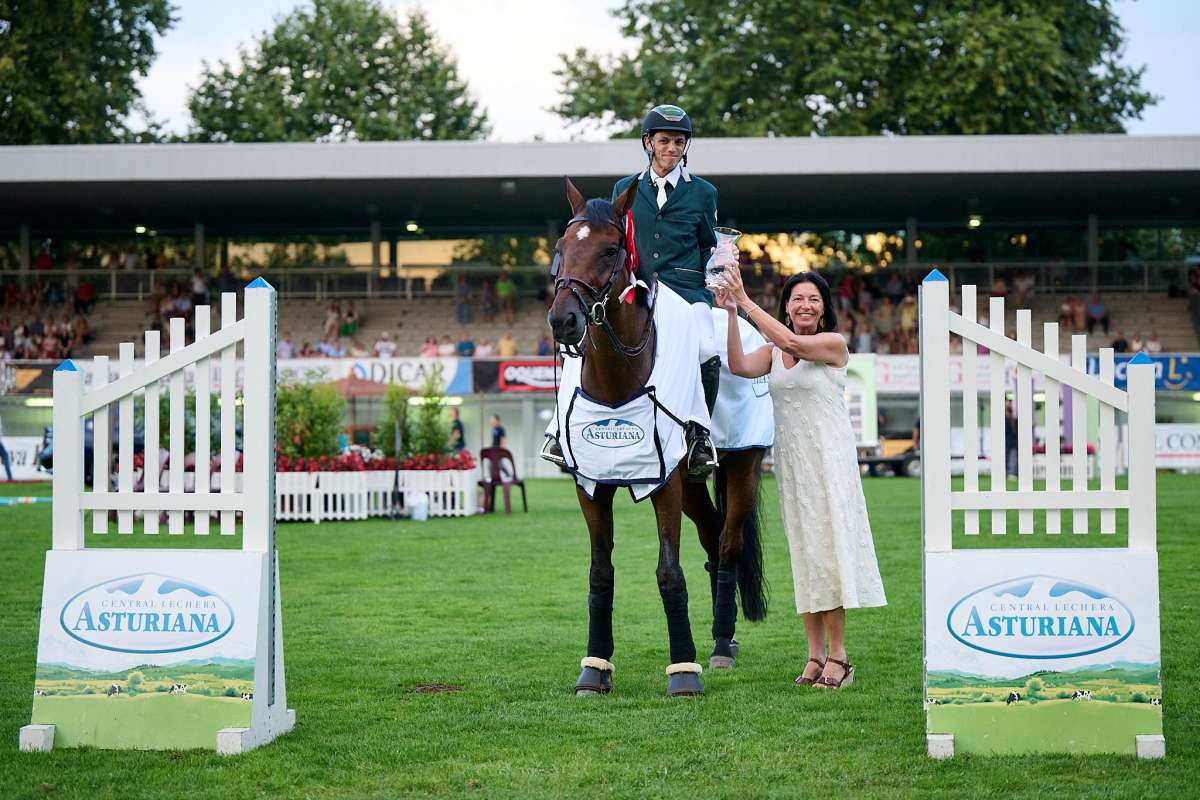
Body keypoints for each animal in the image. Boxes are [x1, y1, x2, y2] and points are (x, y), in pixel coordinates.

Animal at [549, 178, 763, 695]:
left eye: (610, 250)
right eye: (561, 248)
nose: (563, 321)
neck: (616, 377)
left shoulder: (663, 484)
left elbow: (669, 573)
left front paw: (684, 671)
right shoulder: (592, 485)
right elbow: (600, 573)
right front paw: (594, 668)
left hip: (741, 467)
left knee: (728, 546)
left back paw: (720, 646)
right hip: (690, 484)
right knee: (712, 540)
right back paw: (722, 639)